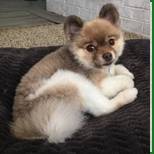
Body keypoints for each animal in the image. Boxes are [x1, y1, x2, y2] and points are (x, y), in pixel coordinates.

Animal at [11, 3, 138, 143]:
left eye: (111, 42)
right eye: (90, 48)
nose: (108, 55)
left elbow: (118, 67)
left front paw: (127, 72)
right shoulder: (101, 85)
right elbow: (121, 80)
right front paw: (128, 80)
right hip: (73, 81)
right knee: (103, 108)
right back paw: (130, 94)